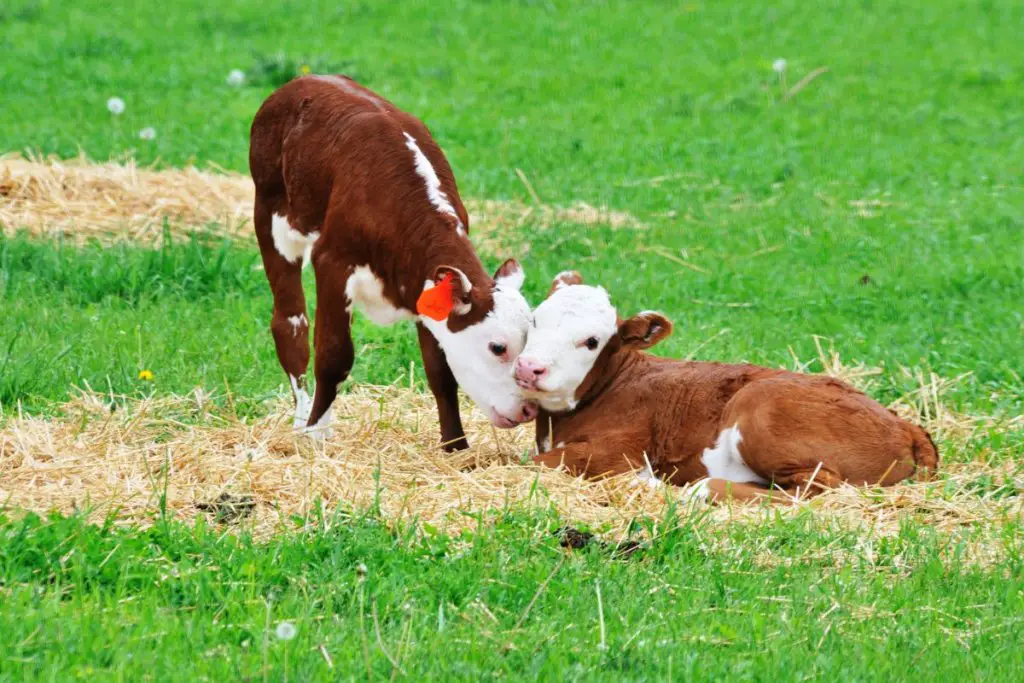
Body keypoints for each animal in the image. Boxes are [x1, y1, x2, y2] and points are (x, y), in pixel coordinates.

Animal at [249, 76, 536, 448]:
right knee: (290, 325)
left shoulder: (424, 286)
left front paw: (456, 447)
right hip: (271, 218)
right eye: (497, 347)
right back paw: (301, 423)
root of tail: (304, 80)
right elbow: (334, 356)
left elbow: (440, 370)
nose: (529, 410)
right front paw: (317, 436)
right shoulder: (332, 262)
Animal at [516, 272, 937, 501]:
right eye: (535, 319)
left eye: (591, 341)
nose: (528, 367)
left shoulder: (618, 454)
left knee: (817, 488)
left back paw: (699, 490)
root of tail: (906, 425)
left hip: (761, 410)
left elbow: (528, 463)